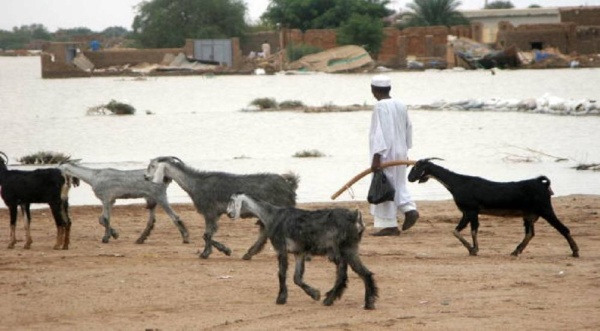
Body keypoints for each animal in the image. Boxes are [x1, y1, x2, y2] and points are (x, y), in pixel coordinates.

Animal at [60, 162, 188, 245]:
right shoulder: (111, 201)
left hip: (160, 196)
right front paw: (114, 234)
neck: (93, 176)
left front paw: (106, 238)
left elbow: (105, 219)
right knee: (151, 220)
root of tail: (166, 177)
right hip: (152, 199)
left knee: (174, 217)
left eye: (59, 169)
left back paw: (185, 237)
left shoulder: (105, 198)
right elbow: (101, 219)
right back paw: (141, 239)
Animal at [143, 157, 298, 260]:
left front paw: (212, 252)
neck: (196, 183)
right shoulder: (215, 214)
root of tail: (289, 186)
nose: (145, 177)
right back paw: (250, 253)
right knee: (264, 232)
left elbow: (206, 235)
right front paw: (214, 251)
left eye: (152, 165)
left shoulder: (210, 212)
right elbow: (208, 234)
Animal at [227, 193, 378, 310]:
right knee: (342, 276)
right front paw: (315, 294)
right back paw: (329, 299)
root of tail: (356, 216)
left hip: (347, 250)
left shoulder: (281, 249)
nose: (228, 214)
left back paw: (368, 303)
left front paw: (281, 298)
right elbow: (297, 277)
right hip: (341, 254)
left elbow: (282, 274)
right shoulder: (298, 253)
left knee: (364, 273)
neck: (271, 215)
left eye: (231, 201)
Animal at [406, 160, 580, 258]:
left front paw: (473, 249)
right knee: (530, 233)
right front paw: (473, 249)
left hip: (545, 209)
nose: (409, 178)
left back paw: (575, 251)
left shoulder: (470, 210)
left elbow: (464, 231)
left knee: (563, 228)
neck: (457, 183)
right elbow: (467, 230)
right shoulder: (470, 212)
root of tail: (542, 184)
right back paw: (516, 251)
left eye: (415, 167)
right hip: (529, 214)